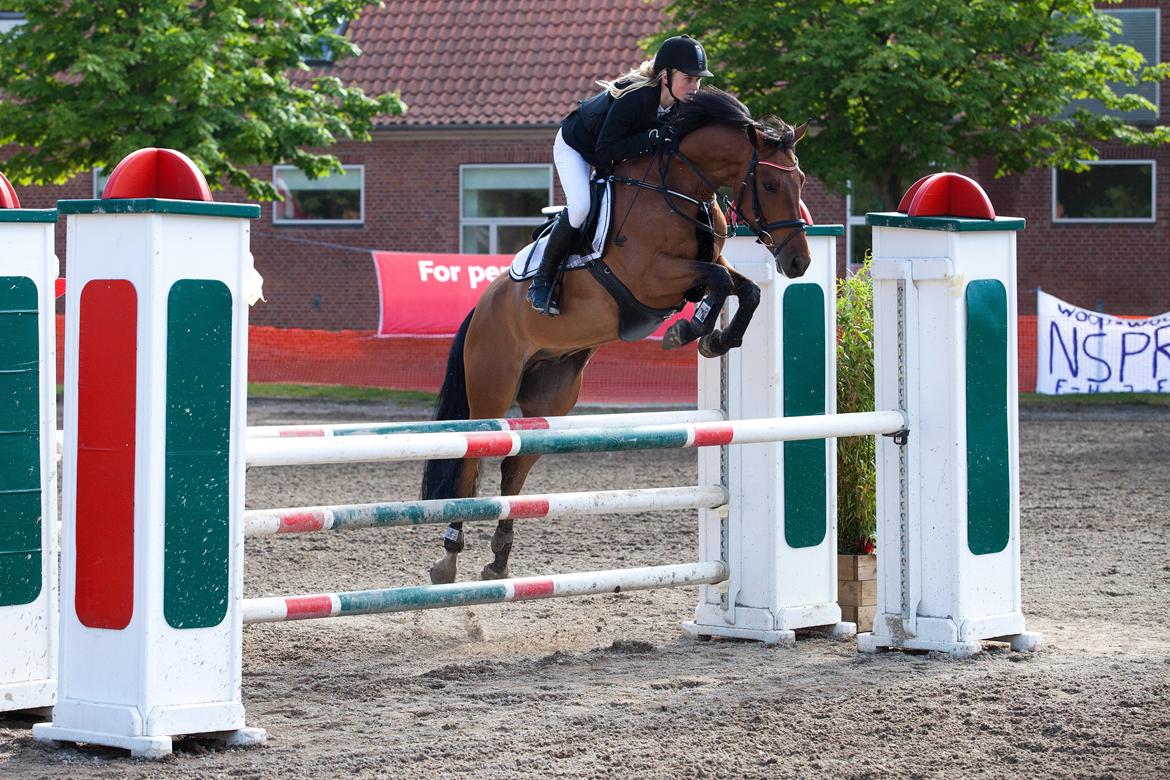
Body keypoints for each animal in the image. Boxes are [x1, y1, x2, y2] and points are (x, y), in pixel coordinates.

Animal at [422, 88, 812, 584]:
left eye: (801, 181)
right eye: (771, 185)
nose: (798, 262)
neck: (680, 189)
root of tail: (482, 309)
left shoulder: (703, 267)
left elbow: (743, 288)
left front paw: (713, 339)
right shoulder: (650, 277)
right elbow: (721, 283)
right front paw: (689, 330)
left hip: (552, 395)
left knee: (515, 465)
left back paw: (499, 559)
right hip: (492, 386)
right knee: (470, 465)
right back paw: (448, 558)